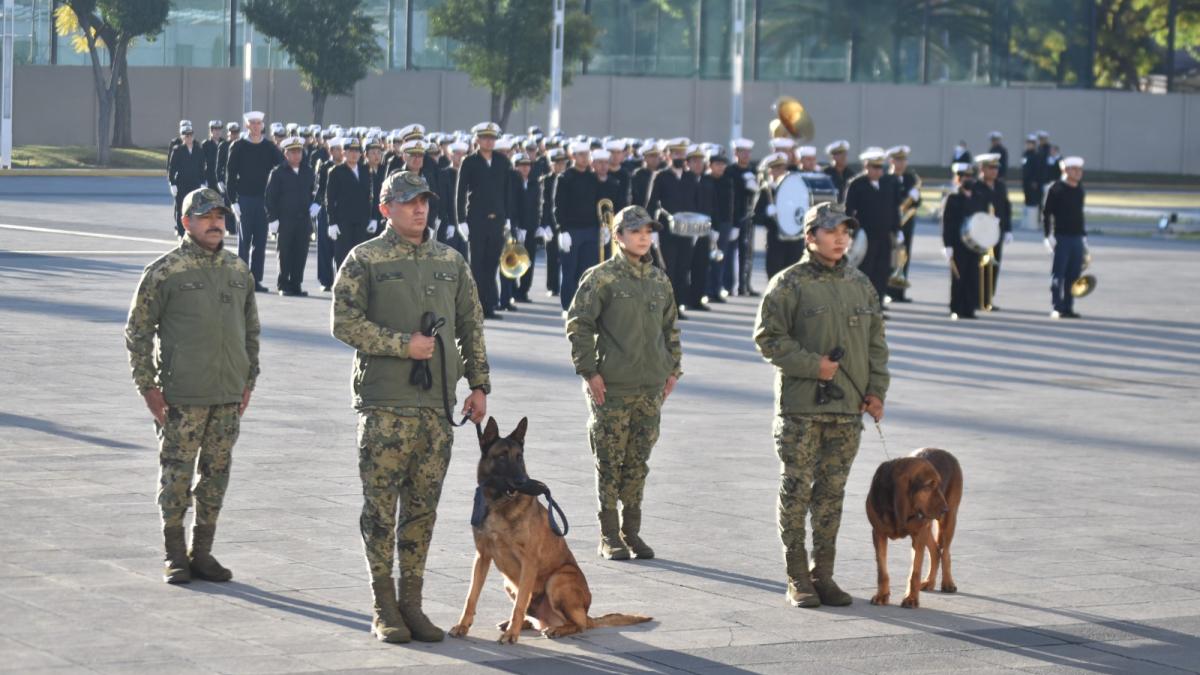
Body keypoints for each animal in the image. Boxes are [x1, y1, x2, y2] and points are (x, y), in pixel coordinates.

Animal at [451, 415, 657, 638]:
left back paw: (557, 629)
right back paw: (524, 624)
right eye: (502, 457)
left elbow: (519, 604)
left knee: (579, 623)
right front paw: (462, 625)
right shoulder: (482, 557)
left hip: (558, 578)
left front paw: (511, 636)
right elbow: (471, 597)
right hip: (508, 583)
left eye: (519, 457)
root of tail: (588, 615)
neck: (500, 502)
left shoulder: (528, 561)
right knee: (534, 616)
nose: (522, 480)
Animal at [864, 444, 964, 607]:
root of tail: (943, 450)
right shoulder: (878, 533)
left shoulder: (918, 536)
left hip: (947, 523)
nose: (945, 509)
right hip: (927, 527)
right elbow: (882, 570)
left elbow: (914, 572)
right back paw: (929, 582)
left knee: (945, 552)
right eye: (928, 486)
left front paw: (911, 598)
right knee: (936, 551)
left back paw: (947, 583)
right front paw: (882, 596)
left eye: (938, 485)